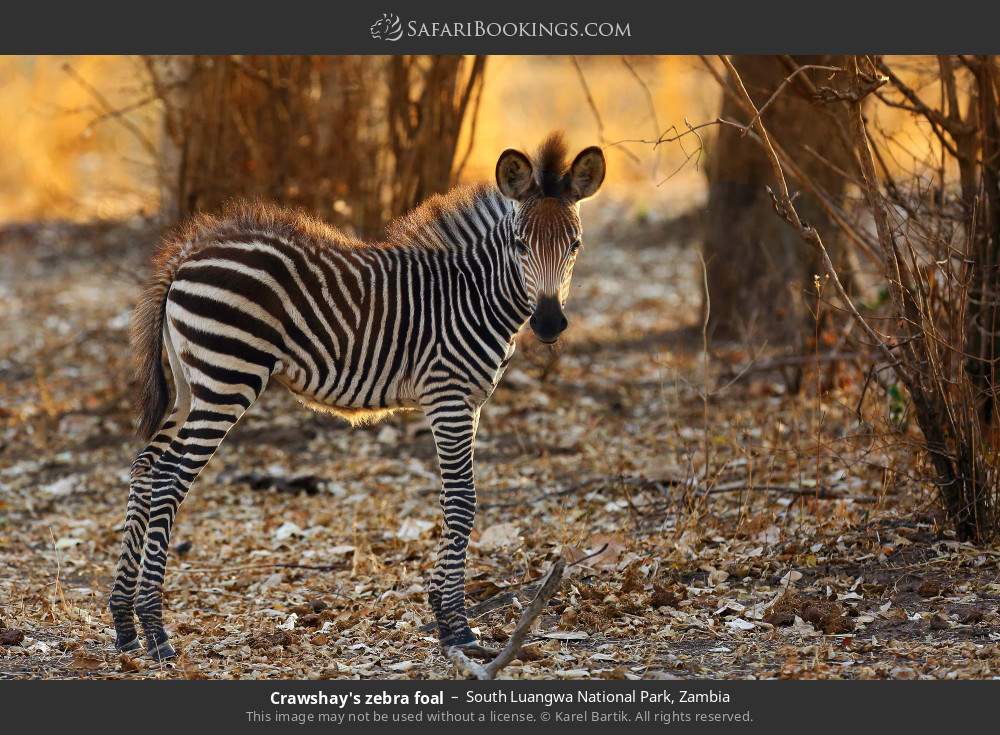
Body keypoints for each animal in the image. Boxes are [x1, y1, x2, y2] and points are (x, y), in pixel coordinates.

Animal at [108, 132, 606, 660]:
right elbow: (462, 501)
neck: (472, 294)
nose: (549, 324)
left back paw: (124, 625)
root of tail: (187, 253)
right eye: (520, 244)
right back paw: (156, 630)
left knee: (145, 469)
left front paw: (442, 611)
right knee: (168, 480)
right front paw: (455, 626)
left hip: (191, 385)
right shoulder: (448, 396)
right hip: (227, 378)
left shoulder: (469, 404)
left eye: (575, 245)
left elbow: (453, 501)